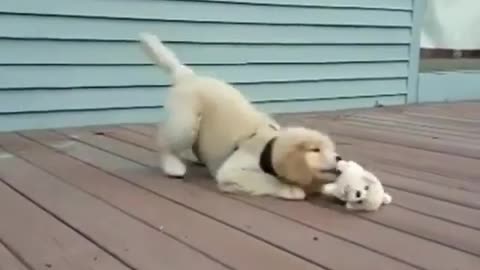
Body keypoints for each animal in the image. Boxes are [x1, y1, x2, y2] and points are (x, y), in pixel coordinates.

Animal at [140, 32, 342, 199]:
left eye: (331, 149)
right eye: (315, 150)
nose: (339, 158)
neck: (268, 149)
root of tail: (189, 76)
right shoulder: (233, 171)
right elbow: (264, 180)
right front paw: (290, 189)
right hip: (185, 121)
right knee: (167, 144)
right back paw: (173, 166)